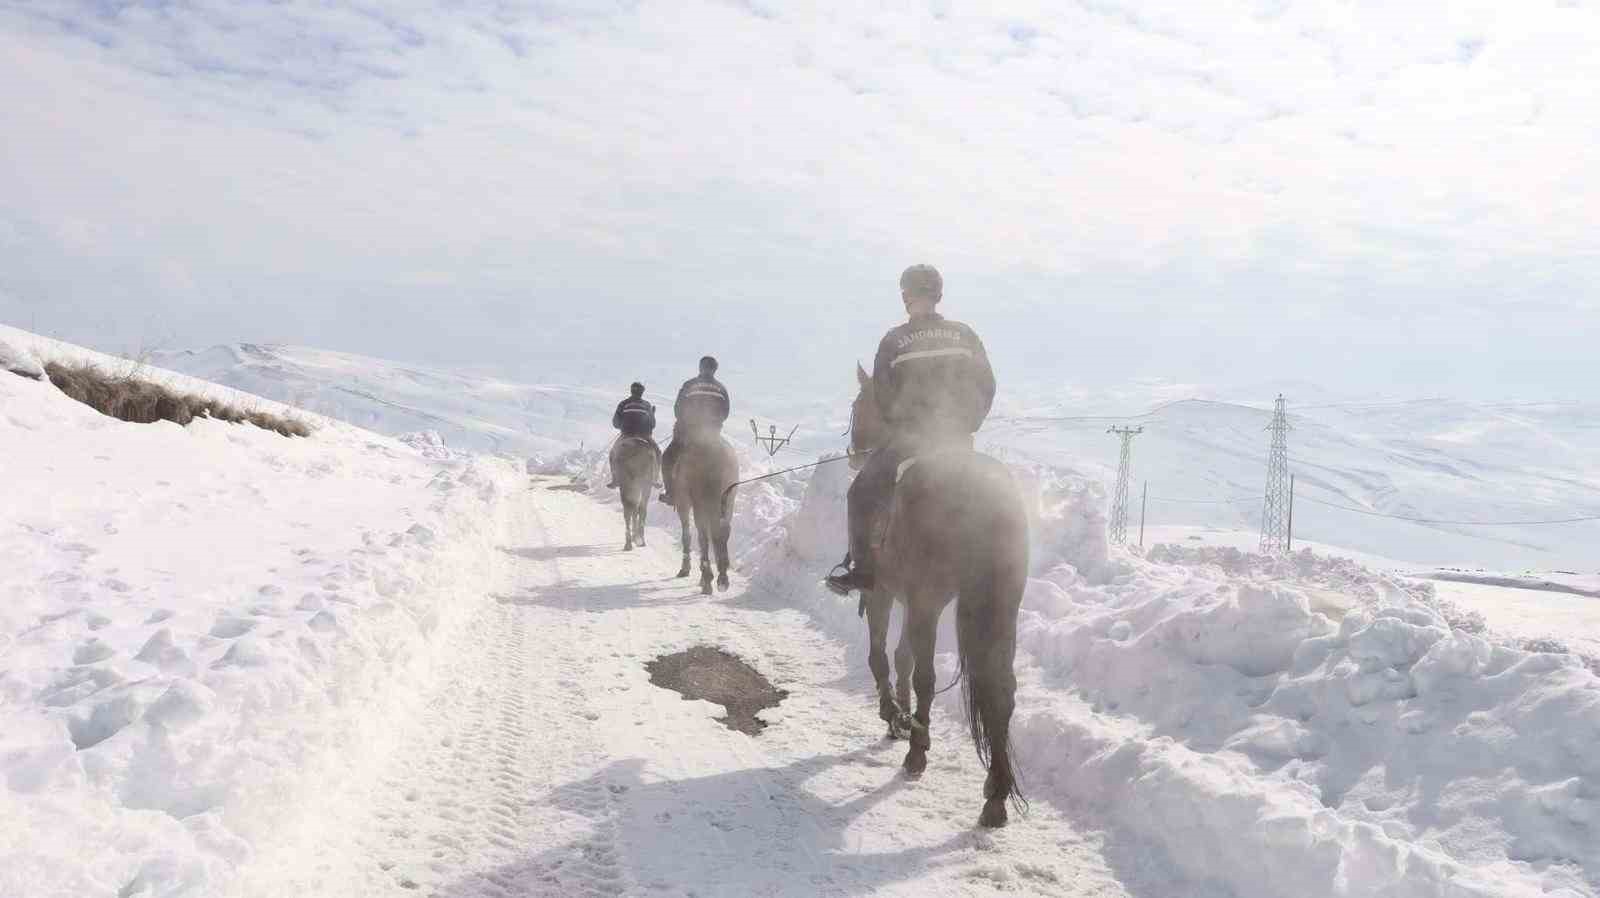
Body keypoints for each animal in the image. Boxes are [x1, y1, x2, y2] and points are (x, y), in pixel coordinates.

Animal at [668, 428, 736, 592]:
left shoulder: (684, 503)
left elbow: (687, 535)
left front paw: (686, 569)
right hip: (727, 502)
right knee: (721, 532)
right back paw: (721, 577)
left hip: (699, 504)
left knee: (703, 536)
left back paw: (707, 578)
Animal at [844, 360, 1030, 825]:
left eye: (859, 405)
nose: (855, 452)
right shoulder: (913, 600)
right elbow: (901, 656)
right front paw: (899, 715)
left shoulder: (887, 593)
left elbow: (881, 654)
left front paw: (893, 714)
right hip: (999, 605)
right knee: (1002, 689)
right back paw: (996, 793)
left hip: (927, 599)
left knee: (927, 675)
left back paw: (917, 750)